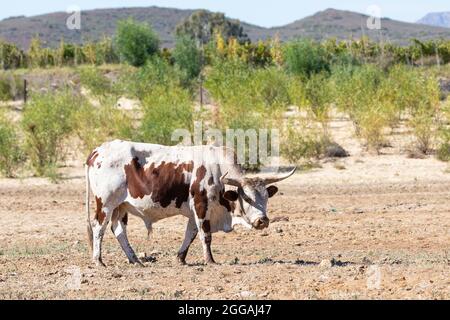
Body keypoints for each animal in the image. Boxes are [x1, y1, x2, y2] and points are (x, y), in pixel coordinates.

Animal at [85, 140, 296, 268]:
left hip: (120, 207)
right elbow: (205, 235)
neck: (218, 170)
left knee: (118, 230)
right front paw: (210, 260)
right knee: (99, 228)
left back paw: (135, 259)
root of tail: (98, 151)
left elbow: (191, 234)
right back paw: (99, 261)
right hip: (105, 204)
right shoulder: (201, 206)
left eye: (266, 198)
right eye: (248, 198)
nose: (263, 221)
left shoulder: (196, 212)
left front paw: (181, 258)